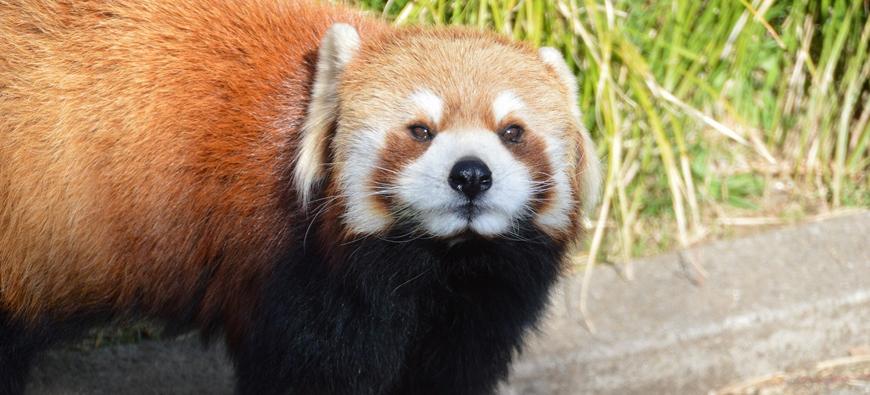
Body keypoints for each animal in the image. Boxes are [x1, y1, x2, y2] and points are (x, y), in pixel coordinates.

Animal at [1, 1, 600, 394]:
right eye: (420, 131)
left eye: (512, 132)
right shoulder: (296, 276)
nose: (471, 175)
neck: (442, 261)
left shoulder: (477, 307)